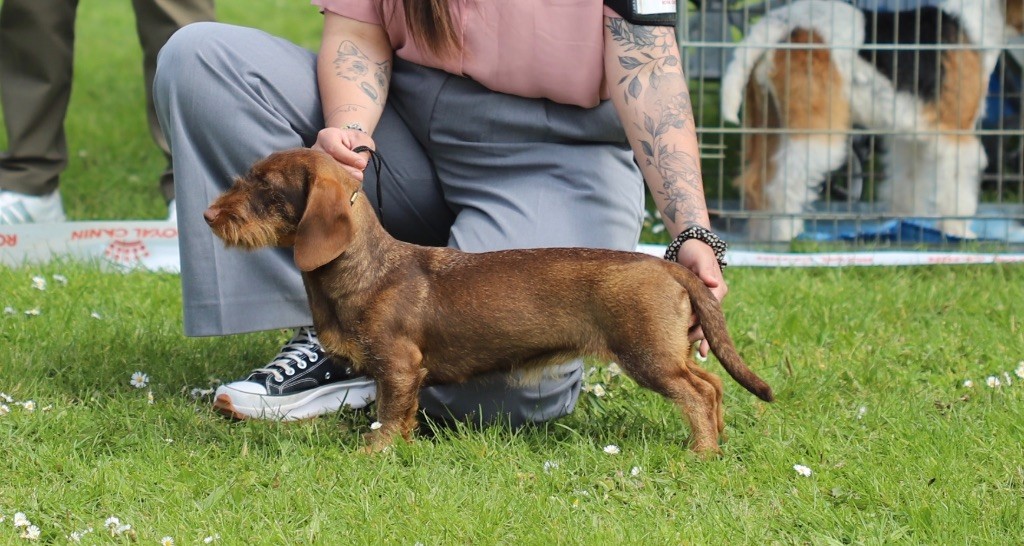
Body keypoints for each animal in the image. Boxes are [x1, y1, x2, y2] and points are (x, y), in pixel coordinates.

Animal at [720, 0, 1024, 242]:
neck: (979, 22)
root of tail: (781, 23)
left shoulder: (912, 136)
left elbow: (907, 184)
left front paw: (906, 222)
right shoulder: (955, 134)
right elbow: (957, 193)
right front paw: (956, 231)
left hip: (768, 121)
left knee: (756, 182)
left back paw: (763, 234)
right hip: (815, 127)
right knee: (783, 185)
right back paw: (787, 235)